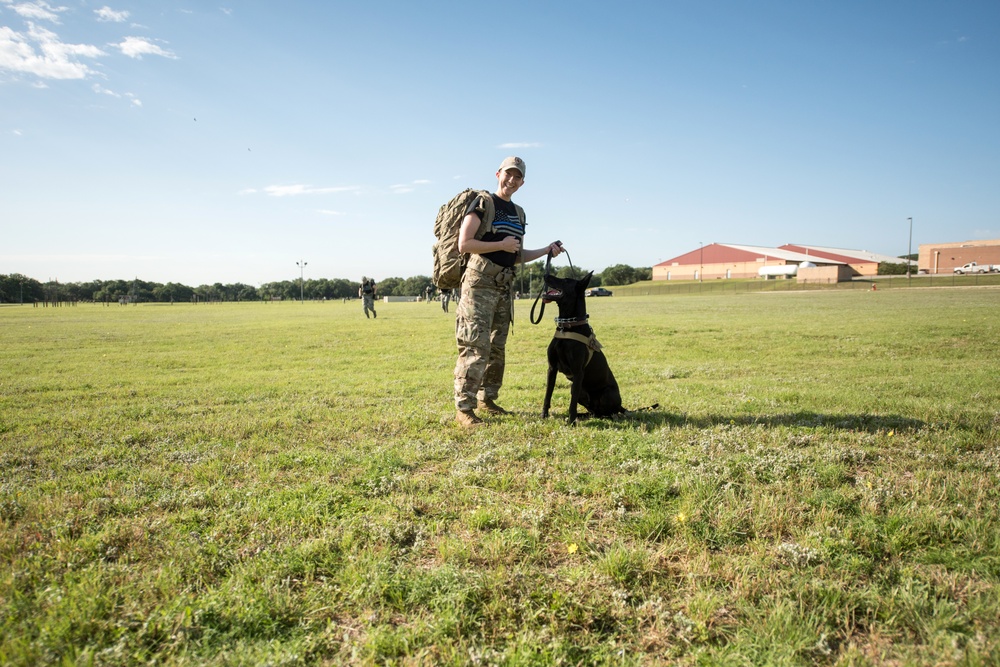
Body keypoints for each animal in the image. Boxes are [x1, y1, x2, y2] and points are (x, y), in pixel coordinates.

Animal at [540, 272, 624, 422]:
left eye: (565, 280)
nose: (545, 274)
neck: (568, 326)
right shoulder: (552, 368)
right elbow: (547, 394)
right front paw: (544, 415)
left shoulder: (578, 372)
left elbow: (572, 402)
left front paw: (571, 422)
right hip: (582, 393)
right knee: (593, 411)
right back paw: (583, 415)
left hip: (607, 393)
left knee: (609, 412)